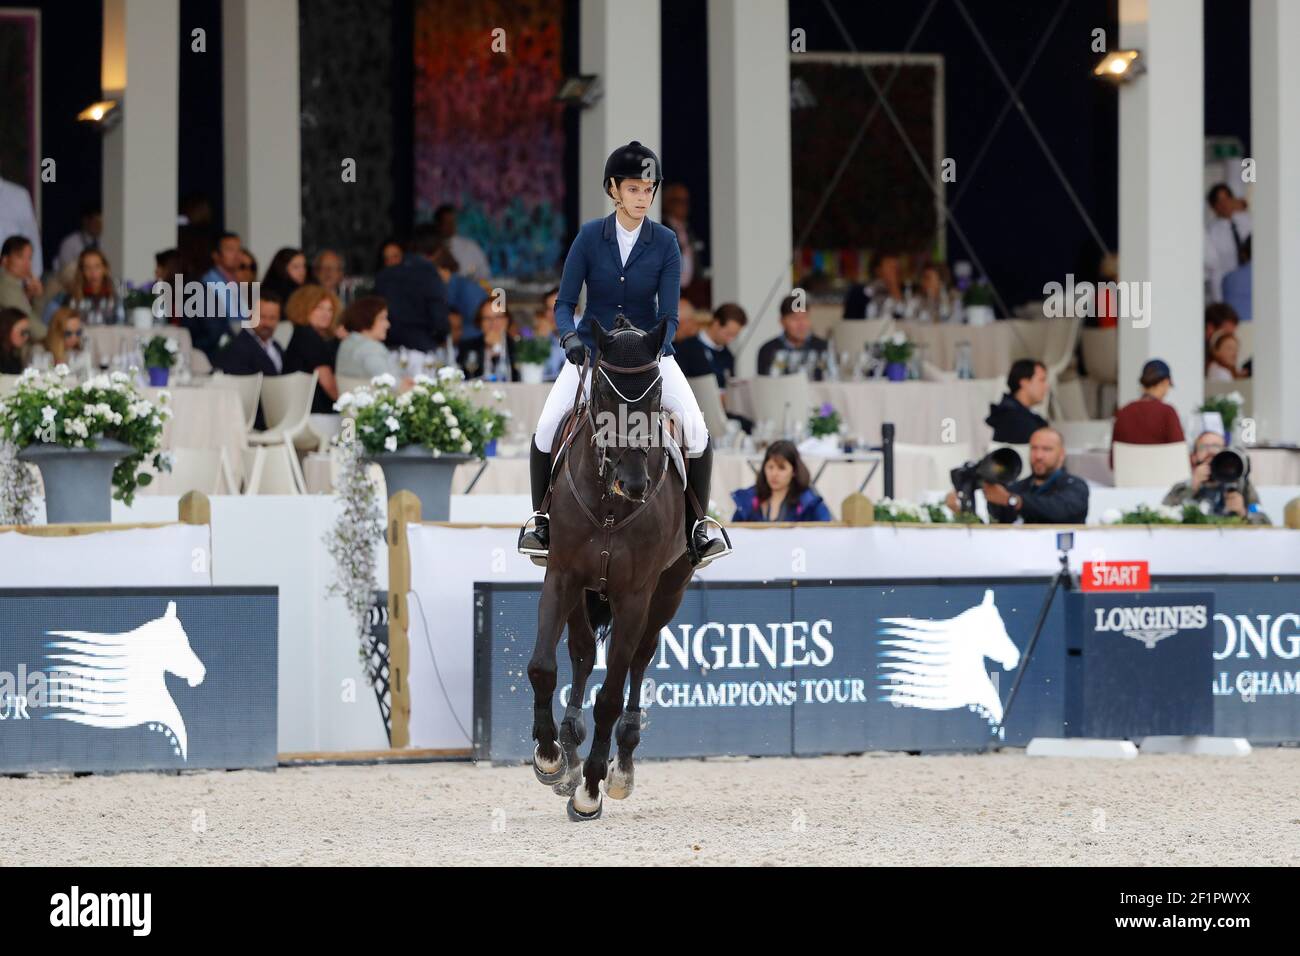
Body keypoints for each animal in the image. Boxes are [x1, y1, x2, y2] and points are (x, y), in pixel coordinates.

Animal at [525, 316, 696, 822]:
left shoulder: (635, 595)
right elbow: (543, 667)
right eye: (602, 393)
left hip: (668, 592)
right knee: (582, 653)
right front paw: (551, 759)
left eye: (655, 397)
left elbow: (611, 695)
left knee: (639, 660)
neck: (609, 502)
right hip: (584, 594)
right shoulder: (561, 576)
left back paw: (621, 765)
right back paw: (568, 746)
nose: (635, 483)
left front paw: (591, 788)